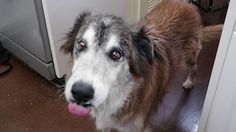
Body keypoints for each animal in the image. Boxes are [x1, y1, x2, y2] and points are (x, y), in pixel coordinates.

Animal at [60, 0, 222, 131]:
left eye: (116, 54)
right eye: (81, 44)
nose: (80, 93)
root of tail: (188, 5)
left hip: (189, 57)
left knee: (195, 67)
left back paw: (189, 82)